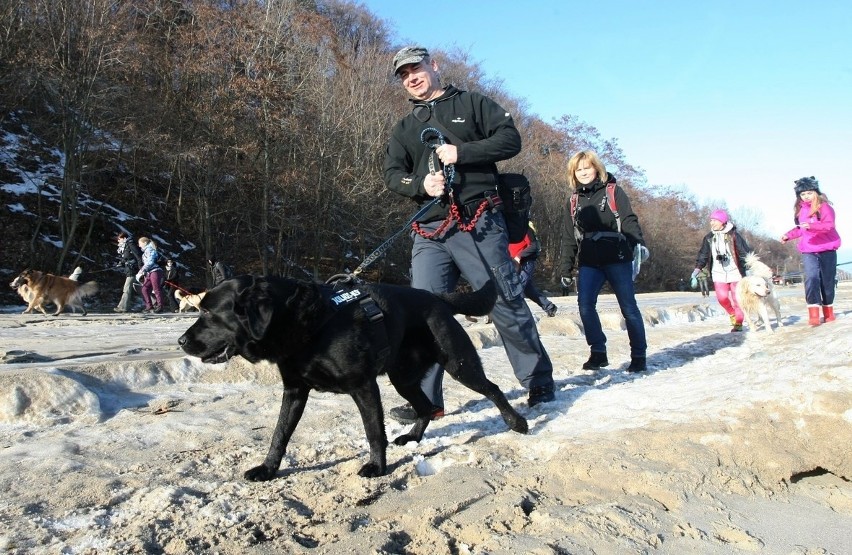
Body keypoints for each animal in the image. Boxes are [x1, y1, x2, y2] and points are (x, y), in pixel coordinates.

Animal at [179, 276, 524, 480]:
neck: (306, 322)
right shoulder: (294, 391)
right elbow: (279, 434)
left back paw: (517, 422)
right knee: (426, 407)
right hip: (403, 378)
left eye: (209, 313)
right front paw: (268, 469)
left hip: (459, 364)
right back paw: (412, 438)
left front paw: (377, 467)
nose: (181, 341)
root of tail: (438, 298)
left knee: (492, 389)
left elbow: (373, 432)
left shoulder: (363, 387)